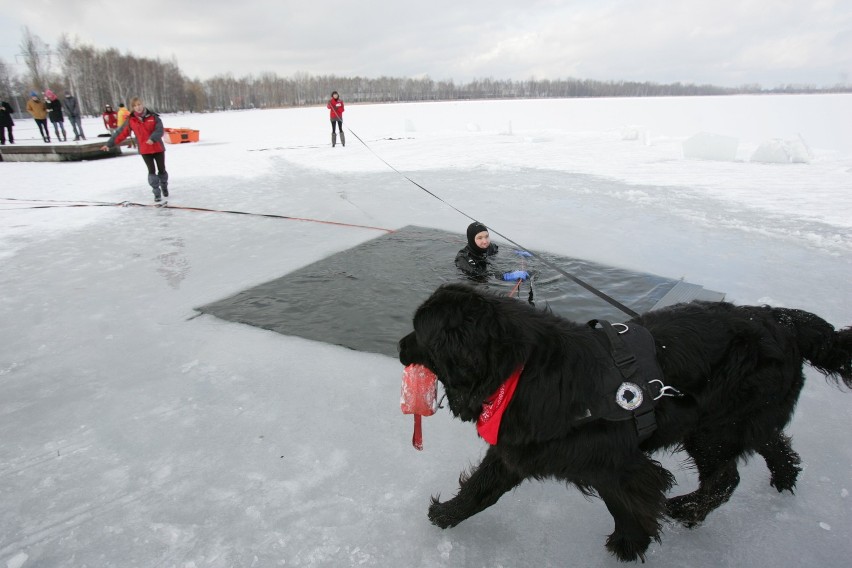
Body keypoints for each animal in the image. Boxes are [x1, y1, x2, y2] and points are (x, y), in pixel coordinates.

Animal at [400, 284, 852, 564]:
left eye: (420, 329)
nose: (401, 345)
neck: (520, 367)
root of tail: (782, 320)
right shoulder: (521, 449)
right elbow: (482, 486)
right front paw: (447, 514)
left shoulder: (615, 461)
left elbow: (624, 501)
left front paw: (628, 545)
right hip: (739, 420)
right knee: (773, 443)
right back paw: (783, 479)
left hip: (712, 429)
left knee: (726, 478)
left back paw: (687, 509)